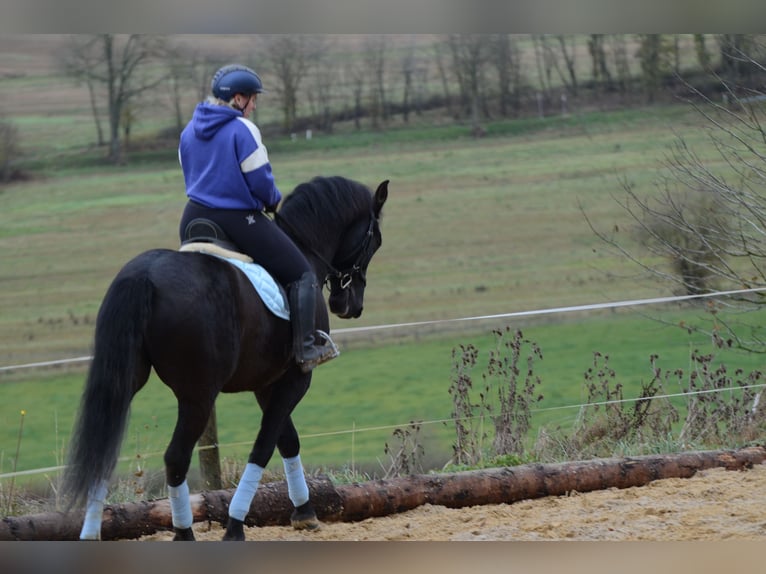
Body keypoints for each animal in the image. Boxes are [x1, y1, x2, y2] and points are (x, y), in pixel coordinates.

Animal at [61, 178, 390, 544]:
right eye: (375, 240)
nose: (350, 305)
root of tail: (145, 274)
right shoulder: (296, 379)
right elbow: (264, 446)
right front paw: (235, 525)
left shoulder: (267, 385)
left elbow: (287, 440)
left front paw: (304, 512)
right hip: (198, 396)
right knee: (176, 458)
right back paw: (184, 533)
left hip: (126, 381)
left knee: (103, 453)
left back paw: (92, 535)